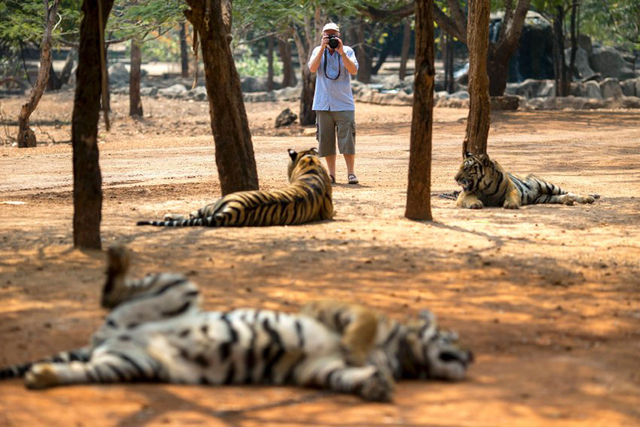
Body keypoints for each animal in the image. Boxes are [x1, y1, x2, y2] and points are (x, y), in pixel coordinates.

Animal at [0, 246, 470, 402]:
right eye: (453, 335)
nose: (472, 355)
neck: (404, 353)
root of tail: (107, 335)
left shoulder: (316, 370)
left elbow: (344, 375)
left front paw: (374, 384)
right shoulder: (333, 306)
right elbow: (364, 323)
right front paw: (359, 353)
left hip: (127, 364)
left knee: (82, 369)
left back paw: (41, 377)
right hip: (180, 287)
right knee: (112, 293)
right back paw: (117, 259)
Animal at [456, 153, 600, 210]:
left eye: (467, 168)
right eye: (460, 167)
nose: (455, 178)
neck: (486, 187)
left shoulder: (511, 188)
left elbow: (511, 196)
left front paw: (510, 205)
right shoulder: (464, 195)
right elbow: (470, 198)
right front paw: (475, 204)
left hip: (548, 186)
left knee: (570, 192)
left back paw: (589, 198)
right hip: (544, 198)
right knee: (562, 196)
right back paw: (568, 200)